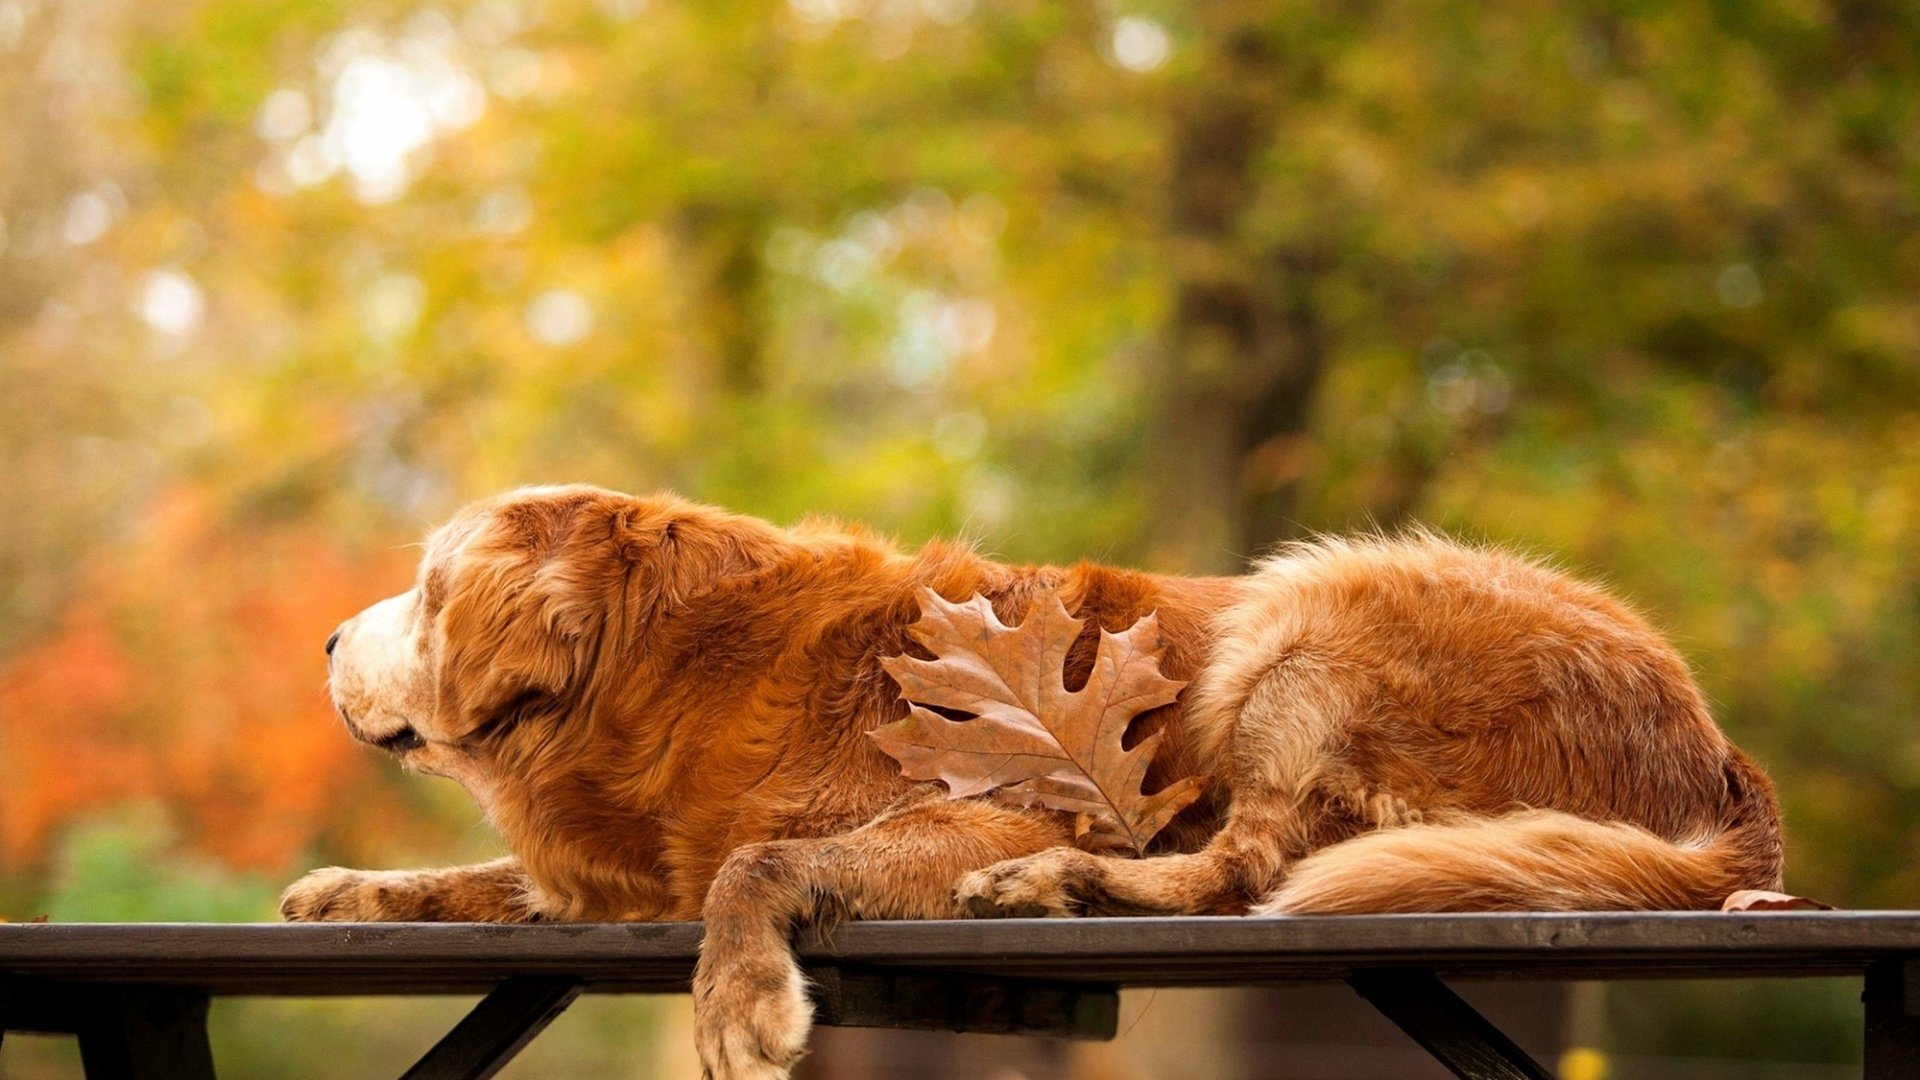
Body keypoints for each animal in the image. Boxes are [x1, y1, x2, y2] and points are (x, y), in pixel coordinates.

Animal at [284, 486, 1781, 1076]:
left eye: (423, 591)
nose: (326, 641)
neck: (667, 664)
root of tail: (1718, 748)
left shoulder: (984, 799)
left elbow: (752, 865)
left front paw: (740, 1000)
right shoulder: (619, 872)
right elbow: (488, 880)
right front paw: (347, 889)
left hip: (1311, 609)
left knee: (1242, 869)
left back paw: (1059, 882)